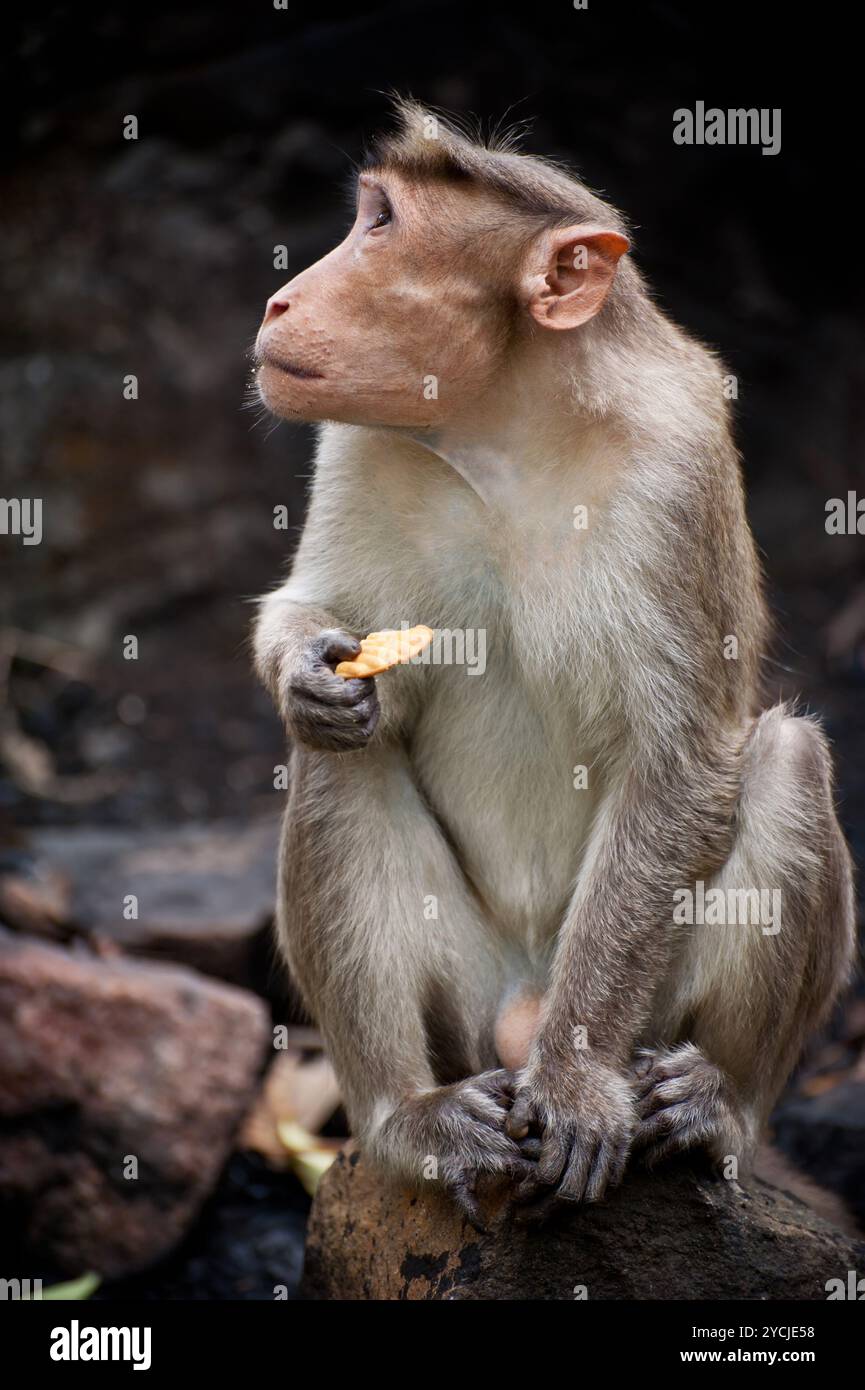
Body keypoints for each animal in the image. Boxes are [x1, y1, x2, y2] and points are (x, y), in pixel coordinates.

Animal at [253, 102, 862, 1223]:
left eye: (379, 224)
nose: (279, 295)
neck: (505, 434)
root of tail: (521, 1007)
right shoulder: (358, 441)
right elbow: (315, 618)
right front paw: (309, 670)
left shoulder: (676, 468)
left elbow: (680, 766)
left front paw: (577, 1084)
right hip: (468, 1001)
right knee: (339, 760)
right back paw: (406, 1119)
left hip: (647, 1014)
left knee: (788, 758)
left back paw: (717, 1109)